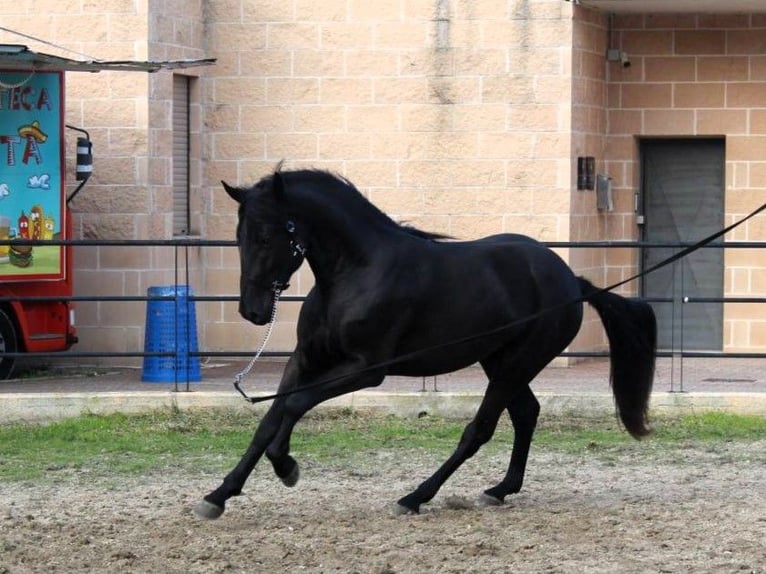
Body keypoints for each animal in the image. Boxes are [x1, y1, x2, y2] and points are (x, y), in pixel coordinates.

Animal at [195, 168, 656, 520]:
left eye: (265, 236)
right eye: (238, 236)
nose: (252, 311)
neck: (356, 273)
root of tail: (571, 282)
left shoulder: (366, 369)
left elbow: (294, 405)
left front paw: (286, 466)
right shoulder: (306, 359)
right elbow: (269, 420)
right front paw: (219, 495)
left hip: (516, 364)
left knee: (479, 430)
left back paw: (415, 497)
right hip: (500, 361)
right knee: (526, 413)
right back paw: (499, 489)